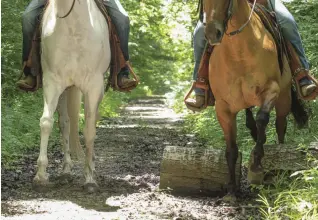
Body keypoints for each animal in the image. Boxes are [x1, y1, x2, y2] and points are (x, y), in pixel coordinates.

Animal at [33, 0, 110, 192]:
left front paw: (89, 178)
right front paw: (40, 175)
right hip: (65, 90)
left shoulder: (93, 85)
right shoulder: (52, 81)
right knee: (65, 123)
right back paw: (66, 170)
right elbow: (46, 122)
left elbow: (89, 129)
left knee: (92, 119)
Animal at [201, 0, 308, 198]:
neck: (238, 51)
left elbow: (262, 119)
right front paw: (231, 191)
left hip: (284, 99)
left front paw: (256, 166)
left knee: (280, 127)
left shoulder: (271, 90)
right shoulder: (223, 107)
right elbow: (231, 149)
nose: (212, 33)